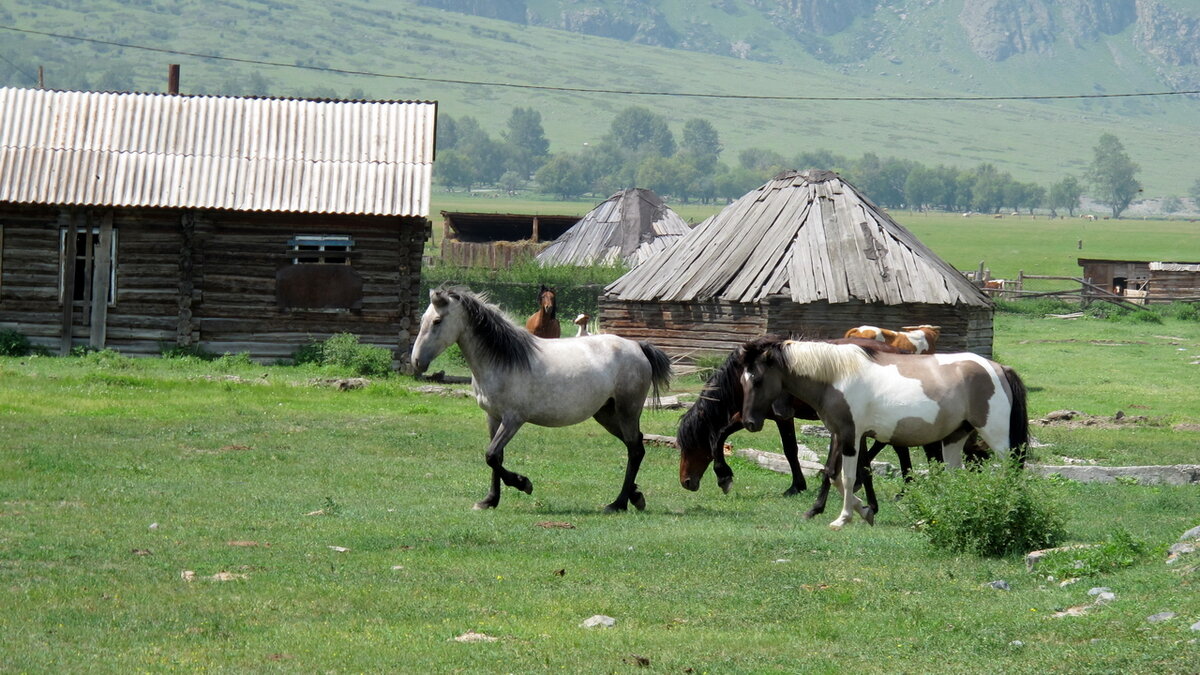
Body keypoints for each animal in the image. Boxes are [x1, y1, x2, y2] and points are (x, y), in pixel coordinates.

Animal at [410, 284, 676, 509]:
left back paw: (618, 504)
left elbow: (492, 455)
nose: (417, 362)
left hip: (627, 410)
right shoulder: (493, 417)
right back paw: (635, 496)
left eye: (437, 321)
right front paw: (489, 500)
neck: (503, 359)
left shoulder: (513, 419)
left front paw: (524, 483)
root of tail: (637, 347)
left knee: (635, 450)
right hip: (606, 414)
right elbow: (496, 457)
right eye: (422, 320)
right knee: (636, 445)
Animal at [734, 333, 1027, 528]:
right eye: (742, 381)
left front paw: (843, 518)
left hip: (996, 437)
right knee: (955, 477)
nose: (749, 422)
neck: (837, 376)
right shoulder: (841, 434)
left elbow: (848, 477)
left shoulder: (851, 436)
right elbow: (833, 475)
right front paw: (864, 511)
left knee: (1009, 472)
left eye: (757, 380)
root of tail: (999, 369)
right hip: (955, 438)